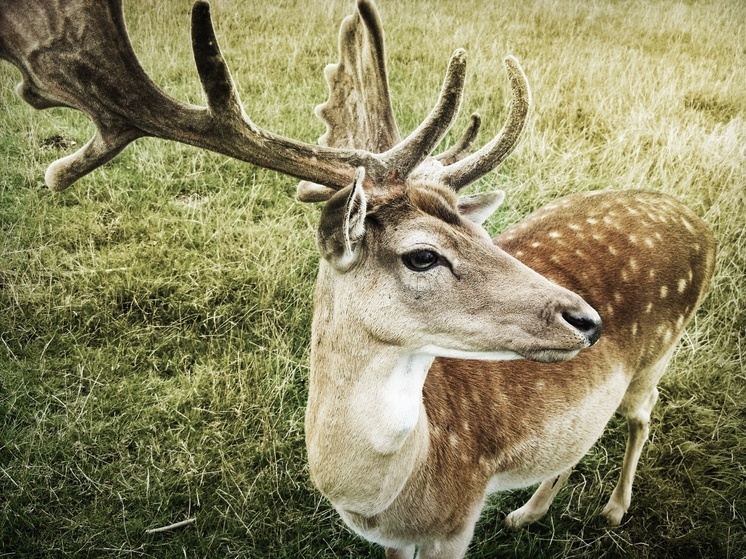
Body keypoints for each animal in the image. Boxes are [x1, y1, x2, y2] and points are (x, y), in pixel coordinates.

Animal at [1, 1, 716, 559]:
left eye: (484, 235)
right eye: (423, 255)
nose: (586, 318)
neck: (392, 489)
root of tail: (696, 219)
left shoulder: (458, 520)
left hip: (663, 349)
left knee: (641, 416)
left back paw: (612, 510)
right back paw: (528, 512)